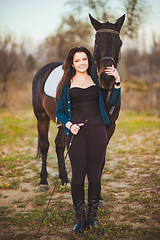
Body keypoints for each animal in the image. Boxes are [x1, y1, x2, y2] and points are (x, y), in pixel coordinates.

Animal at [32, 14, 125, 190]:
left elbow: (100, 160)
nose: (107, 79)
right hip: (42, 118)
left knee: (59, 144)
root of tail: (43, 70)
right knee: (45, 145)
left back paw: (64, 180)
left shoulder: (110, 127)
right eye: (97, 42)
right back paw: (43, 181)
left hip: (63, 122)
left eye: (120, 43)